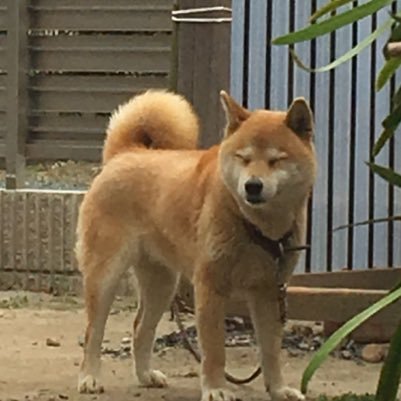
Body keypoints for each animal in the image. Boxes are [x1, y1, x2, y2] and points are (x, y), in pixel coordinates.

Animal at [75, 90, 316, 400]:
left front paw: (278, 389)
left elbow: (271, 352)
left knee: (141, 327)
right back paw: (90, 378)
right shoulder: (210, 288)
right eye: (243, 157)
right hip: (105, 276)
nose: (252, 186)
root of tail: (126, 153)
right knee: (93, 332)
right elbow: (214, 351)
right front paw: (215, 389)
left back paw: (145, 375)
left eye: (276, 160)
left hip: (162, 284)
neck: (253, 225)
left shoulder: (269, 292)